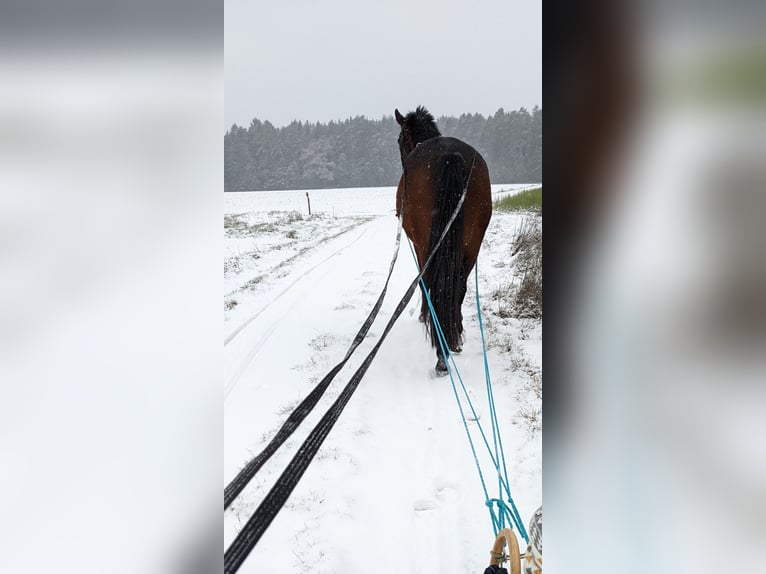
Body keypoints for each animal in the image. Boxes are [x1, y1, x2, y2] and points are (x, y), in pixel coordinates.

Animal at [396, 107, 492, 378]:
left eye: (399, 140)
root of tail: (450, 154)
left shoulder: (419, 247)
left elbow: (423, 283)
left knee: (434, 285)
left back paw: (442, 355)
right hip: (471, 245)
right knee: (458, 286)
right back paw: (453, 341)